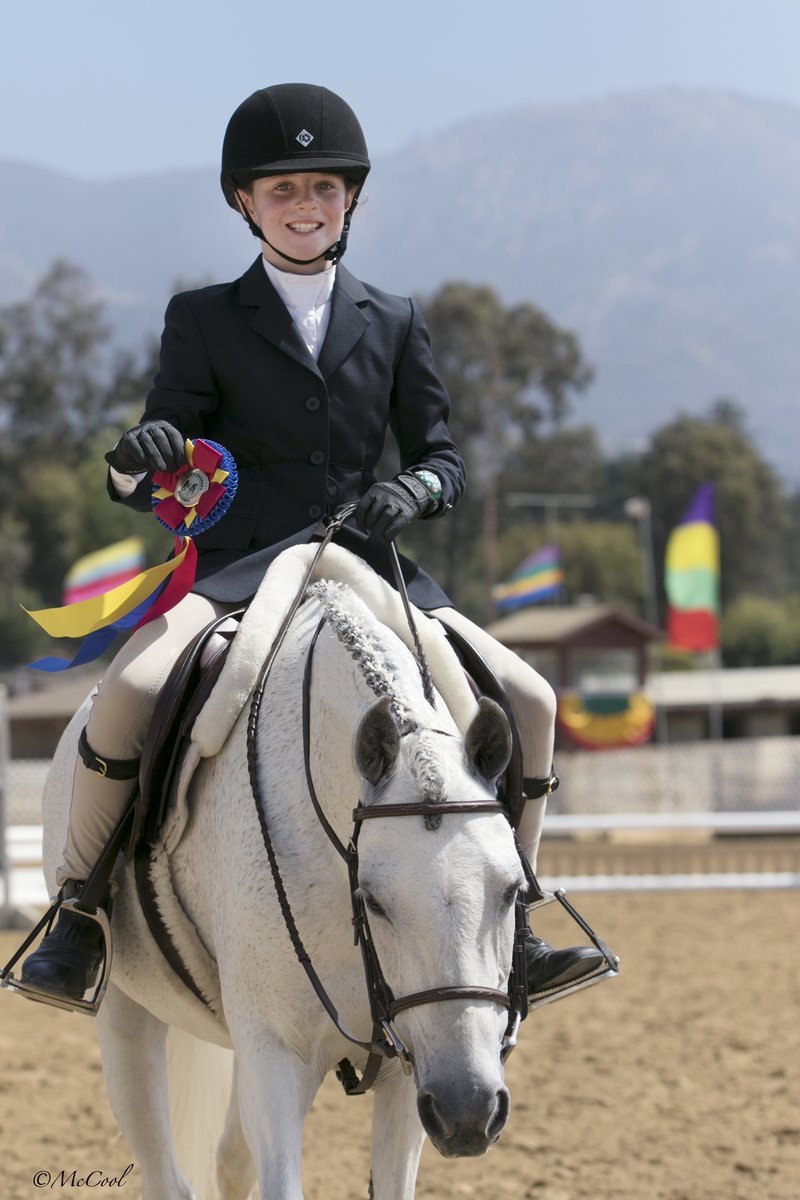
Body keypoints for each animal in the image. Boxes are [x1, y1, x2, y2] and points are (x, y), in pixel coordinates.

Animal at [38, 545, 529, 1200]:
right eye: (372, 900)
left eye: (511, 892)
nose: (469, 1111)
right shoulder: (276, 1053)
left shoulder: (413, 1068)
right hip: (125, 1010)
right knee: (167, 1171)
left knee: (230, 1162)